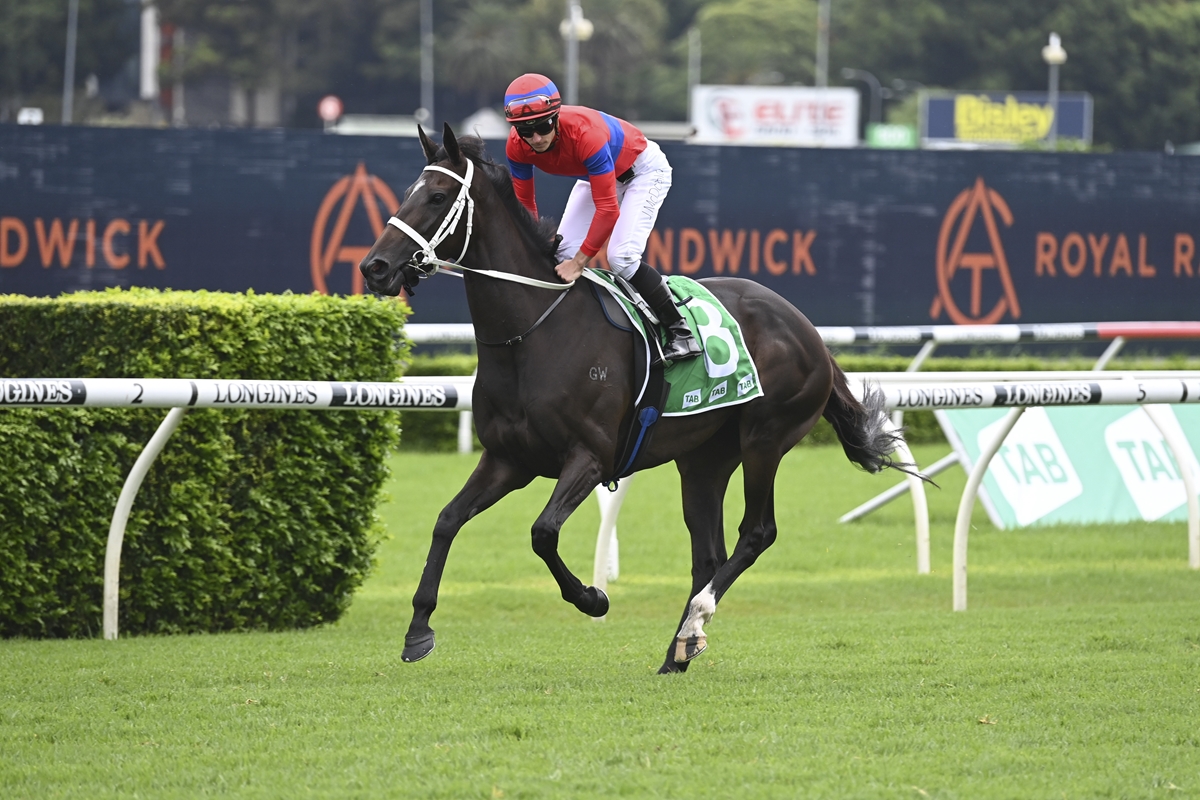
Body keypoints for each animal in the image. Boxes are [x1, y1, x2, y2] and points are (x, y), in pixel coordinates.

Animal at [360, 123, 912, 674]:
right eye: (407, 192)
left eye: (436, 196)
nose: (375, 267)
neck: (533, 332)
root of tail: (807, 330)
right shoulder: (507, 459)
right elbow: (447, 521)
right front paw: (418, 629)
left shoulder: (589, 456)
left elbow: (543, 532)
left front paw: (593, 598)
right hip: (704, 458)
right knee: (707, 554)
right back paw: (679, 649)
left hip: (765, 439)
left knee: (757, 532)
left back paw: (694, 622)